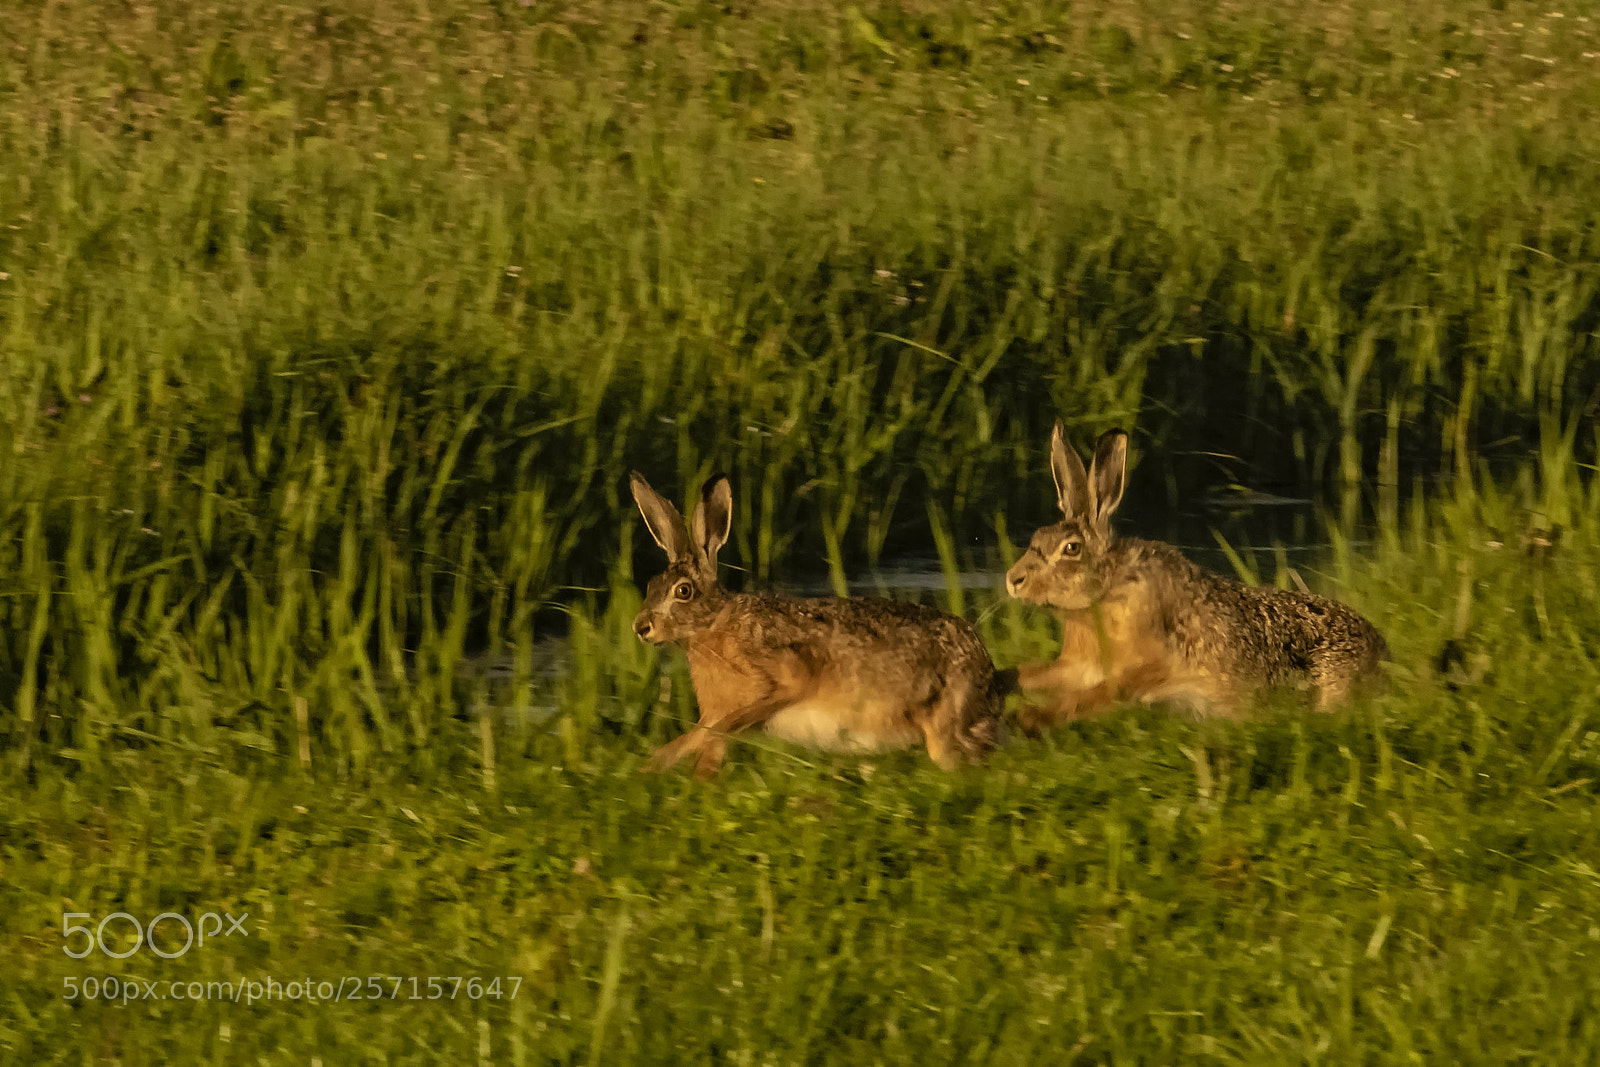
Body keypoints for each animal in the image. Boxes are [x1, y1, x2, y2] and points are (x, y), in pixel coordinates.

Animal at [629, 471, 1010, 778]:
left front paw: (653, 766)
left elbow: (719, 728)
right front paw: (663, 771)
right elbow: (709, 745)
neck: (713, 626)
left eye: (683, 591)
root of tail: (989, 675)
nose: (641, 627)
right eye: (651, 585)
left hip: (943, 727)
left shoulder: (784, 675)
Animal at [1004, 424, 1388, 732]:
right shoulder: (1080, 664)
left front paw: (1030, 719)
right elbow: (1042, 672)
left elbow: (1098, 694)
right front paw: (1005, 681)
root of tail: (1382, 652)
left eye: (1071, 548)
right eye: (1037, 537)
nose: (1013, 579)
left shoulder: (1152, 664)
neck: (1109, 588)